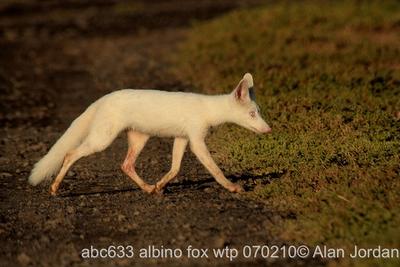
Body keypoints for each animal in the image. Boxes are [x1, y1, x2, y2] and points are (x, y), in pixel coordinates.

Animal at [28, 72, 272, 196]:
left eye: (259, 112)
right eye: (252, 114)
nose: (268, 129)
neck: (209, 111)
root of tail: (103, 99)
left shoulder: (182, 138)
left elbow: (175, 169)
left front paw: (160, 186)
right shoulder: (196, 139)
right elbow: (215, 170)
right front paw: (233, 187)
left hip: (139, 138)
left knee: (126, 165)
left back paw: (147, 188)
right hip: (102, 139)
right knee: (70, 154)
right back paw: (54, 188)